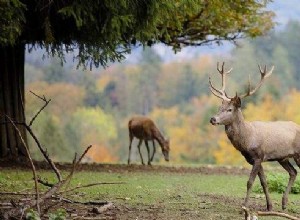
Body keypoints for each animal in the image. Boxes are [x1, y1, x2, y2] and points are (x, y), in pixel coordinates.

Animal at [209, 62, 300, 211]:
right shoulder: (255, 159)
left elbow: (250, 182)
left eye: (230, 109)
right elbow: (264, 182)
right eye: (219, 108)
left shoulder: (258, 156)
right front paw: (269, 207)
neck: (247, 139)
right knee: (293, 172)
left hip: (298, 153)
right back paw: (284, 203)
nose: (213, 119)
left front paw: (244, 206)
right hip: (282, 157)